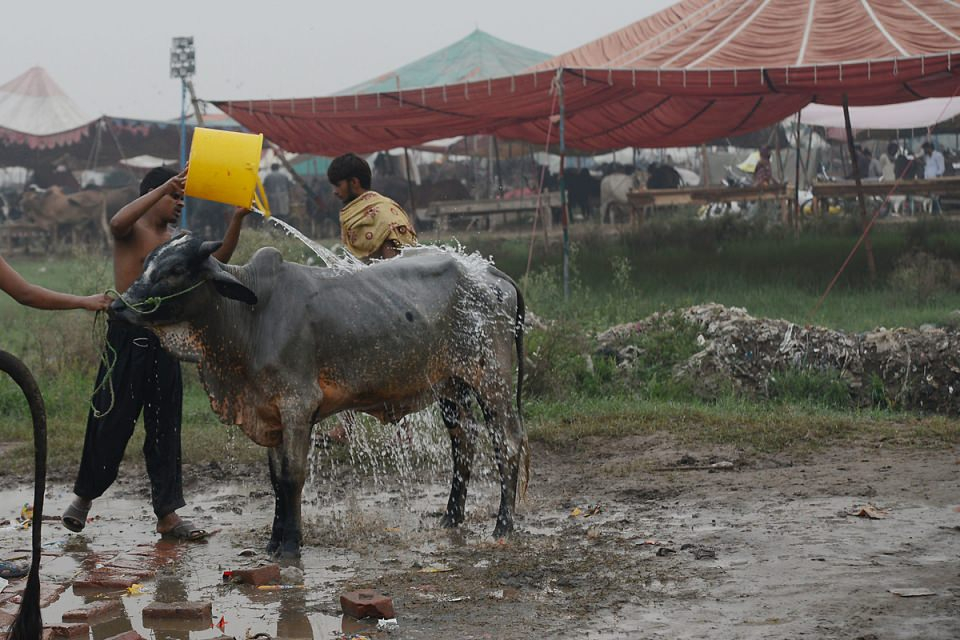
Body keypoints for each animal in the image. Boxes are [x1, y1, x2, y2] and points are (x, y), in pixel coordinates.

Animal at [115, 235, 532, 556]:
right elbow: (275, 479)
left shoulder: (297, 406)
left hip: (491, 380)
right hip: (451, 386)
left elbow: (292, 477)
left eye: (174, 269)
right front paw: (273, 542)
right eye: (148, 262)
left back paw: (502, 525)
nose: (119, 304)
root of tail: (491, 273)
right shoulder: (270, 412)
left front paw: (291, 546)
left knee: (507, 443)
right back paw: (451, 517)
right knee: (464, 443)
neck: (249, 316)